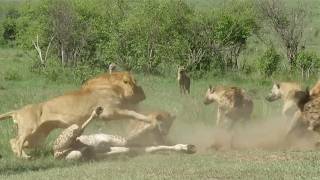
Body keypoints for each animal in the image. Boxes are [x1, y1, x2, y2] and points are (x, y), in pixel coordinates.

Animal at [0, 71, 151, 158]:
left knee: (13, 141)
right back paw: (23, 157)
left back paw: (22, 155)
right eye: (133, 82)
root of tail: (17, 111)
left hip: (37, 138)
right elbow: (132, 113)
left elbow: (132, 112)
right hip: (30, 129)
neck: (114, 87)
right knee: (17, 141)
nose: (144, 94)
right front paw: (148, 119)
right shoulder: (109, 112)